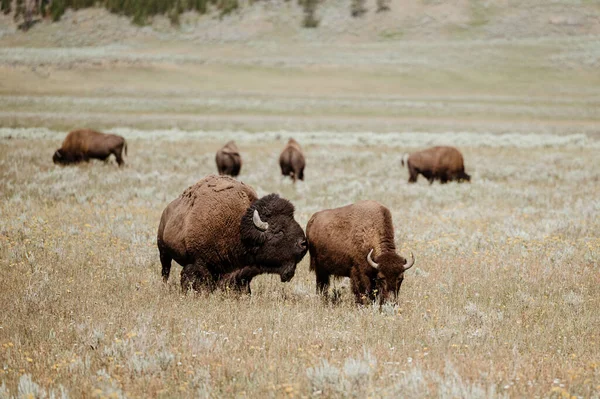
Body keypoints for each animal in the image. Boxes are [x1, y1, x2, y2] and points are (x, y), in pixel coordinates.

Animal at [157, 175, 308, 294]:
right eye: (278, 231)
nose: (303, 244)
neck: (239, 228)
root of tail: (167, 210)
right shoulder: (199, 263)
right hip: (163, 252)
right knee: (165, 271)